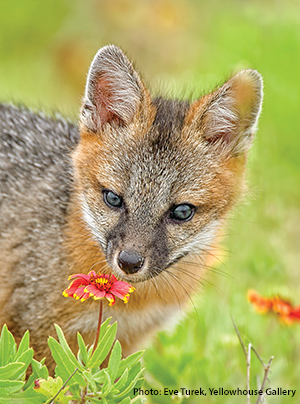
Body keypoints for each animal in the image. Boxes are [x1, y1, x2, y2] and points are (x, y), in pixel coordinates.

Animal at [0, 45, 262, 366]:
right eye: (113, 198)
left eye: (182, 212)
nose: (129, 262)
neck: (133, 304)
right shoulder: (36, 334)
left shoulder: (123, 342)